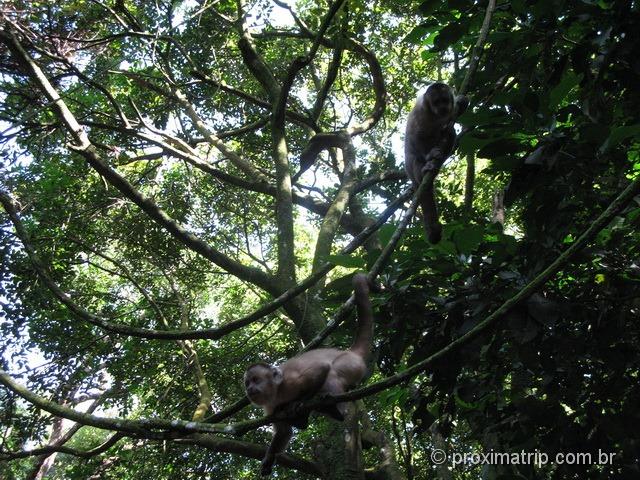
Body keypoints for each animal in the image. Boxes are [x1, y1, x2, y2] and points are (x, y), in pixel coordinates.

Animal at [245, 274, 376, 476]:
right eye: (247, 383)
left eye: (256, 380)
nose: (250, 389)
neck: (277, 391)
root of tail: (350, 352)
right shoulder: (269, 406)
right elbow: (283, 432)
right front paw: (268, 459)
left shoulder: (290, 380)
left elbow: (320, 370)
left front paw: (299, 402)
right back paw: (305, 418)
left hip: (351, 364)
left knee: (332, 374)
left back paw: (335, 410)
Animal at [404, 82, 470, 244]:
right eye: (436, 102)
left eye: (444, 100)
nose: (443, 108)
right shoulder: (420, 112)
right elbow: (415, 136)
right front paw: (429, 156)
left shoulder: (450, 110)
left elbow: (455, 113)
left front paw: (462, 102)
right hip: (410, 170)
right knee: (414, 158)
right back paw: (424, 171)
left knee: (450, 132)